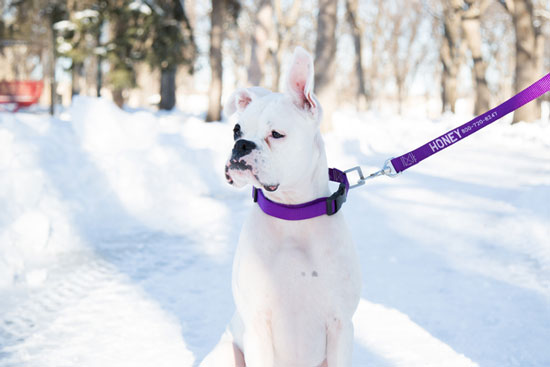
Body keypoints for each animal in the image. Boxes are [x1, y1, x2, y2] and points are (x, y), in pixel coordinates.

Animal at [203, 47, 362, 367]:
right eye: (236, 130)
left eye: (276, 134)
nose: (242, 145)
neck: (293, 214)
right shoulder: (257, 328)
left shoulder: (340, 326)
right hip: (225, 353)